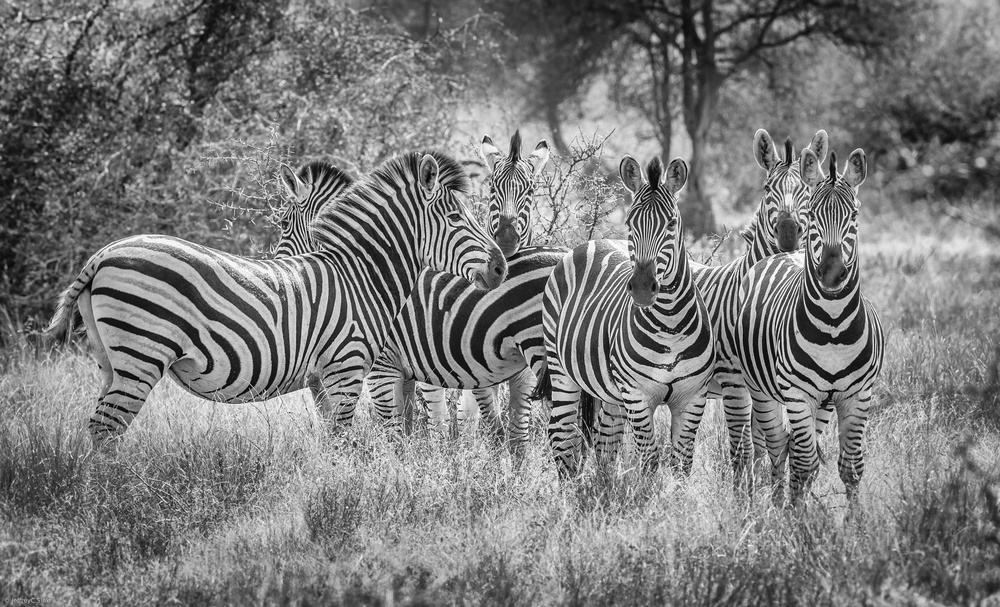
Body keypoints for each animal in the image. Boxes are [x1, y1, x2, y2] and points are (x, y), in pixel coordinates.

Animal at [45, 152, 508, 446]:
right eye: (456, 218)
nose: (501, 267)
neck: (361, 275)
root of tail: (103, 254)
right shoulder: (351, 367)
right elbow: (357, 439)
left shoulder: (328, 377)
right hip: (141, 353)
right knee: (106, 429)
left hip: (113, 361)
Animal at [544, 157, 716, 480]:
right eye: (630, 223)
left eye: (672, 224)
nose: (642, 288)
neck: (670, 325)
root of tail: (593, 242)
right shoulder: (637, 395)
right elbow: (649, 461)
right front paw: (648, 495)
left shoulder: (693, 397)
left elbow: (682, 463)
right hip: (560, 368)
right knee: (562, 434)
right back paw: (570, 489)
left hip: (611, 393)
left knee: (605, 438)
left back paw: (604, 487)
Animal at [696, 128, 828, 490]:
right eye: (768, 189)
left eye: (809, 190)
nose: (788, 233)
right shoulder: (737, 383)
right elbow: (744, 447)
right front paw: (744, 497)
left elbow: (763, 442)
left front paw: (764, 491)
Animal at [732, 148, 888, 508]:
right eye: (815, 215)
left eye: (854, 216)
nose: (831, 273)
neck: (833, 326)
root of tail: (783, 254)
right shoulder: (797, 393)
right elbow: (802, 461)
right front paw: (794, 519)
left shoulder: (857, 395)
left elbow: (850, 466)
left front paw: (855, 521)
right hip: (762, 390)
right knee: (777, 446)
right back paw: (776, 504)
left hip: (824, 403)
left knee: (797, 448)